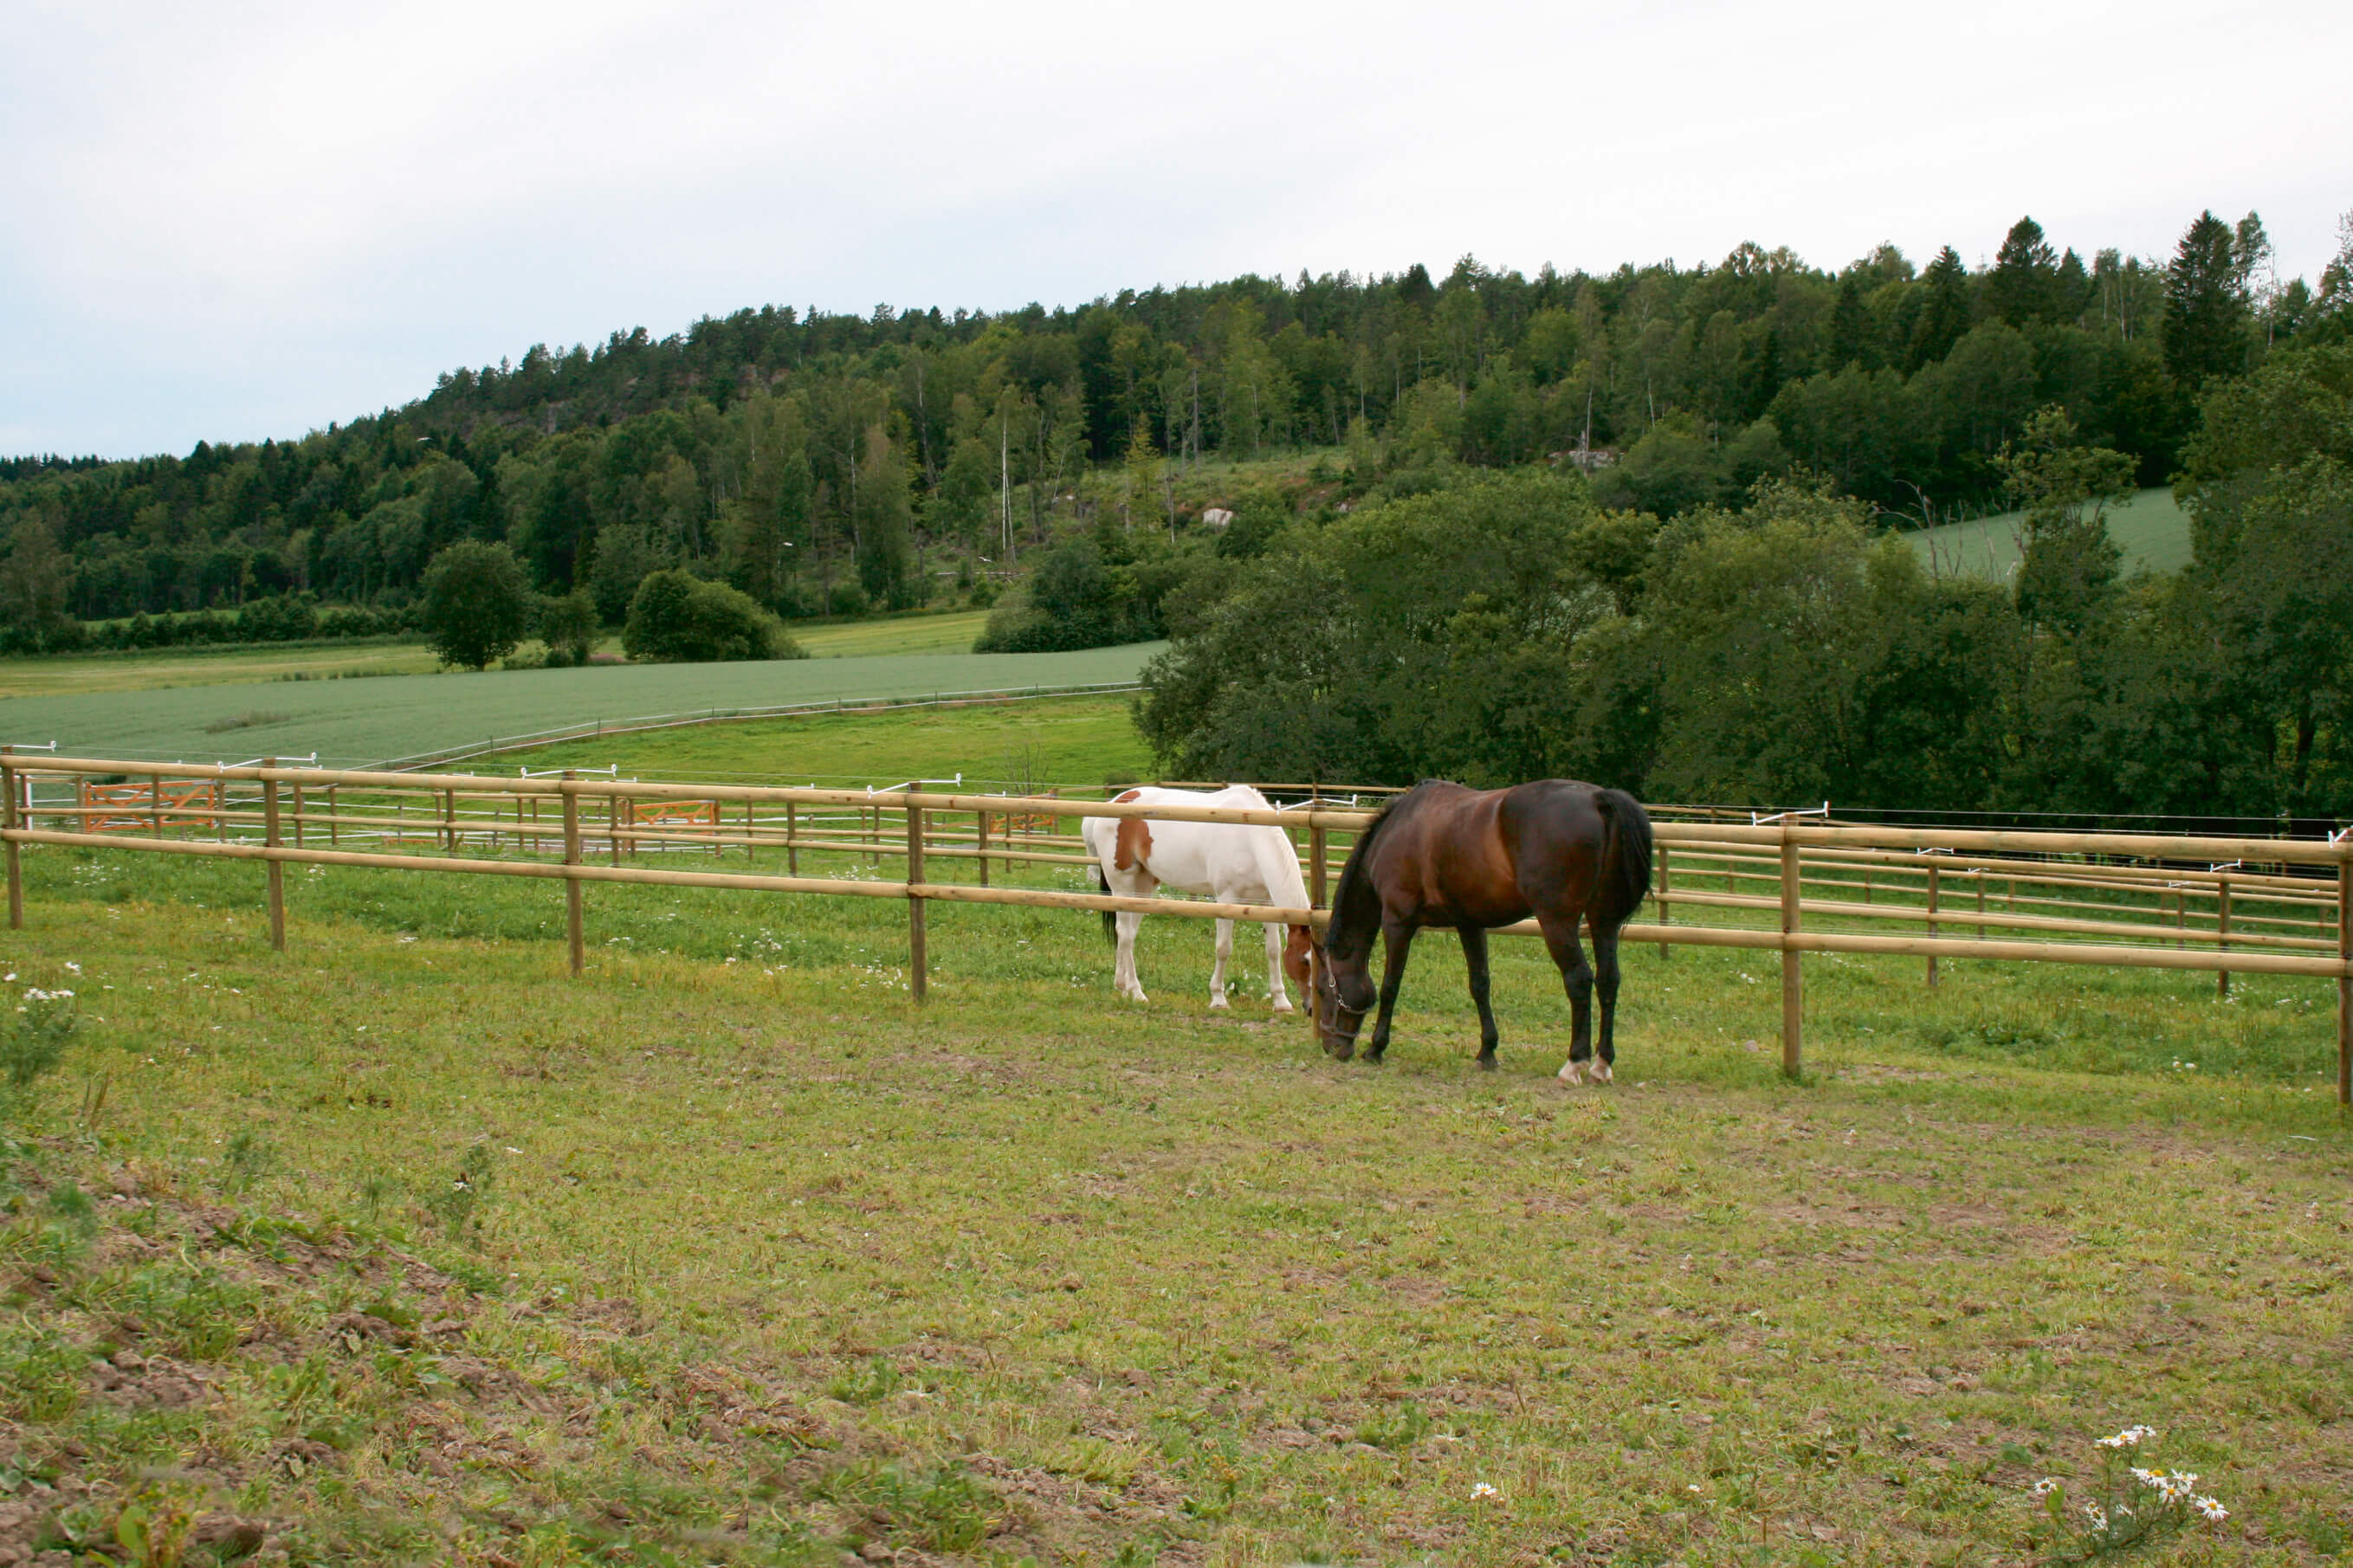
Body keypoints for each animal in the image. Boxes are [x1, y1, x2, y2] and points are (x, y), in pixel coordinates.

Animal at [1083, 785, 1316, 1013]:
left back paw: (1122, 987)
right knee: (1125, 934)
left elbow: (1273, 950)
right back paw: (1136, 991)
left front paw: (1281, 1001)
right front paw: (1218, 998)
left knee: (1127, 934)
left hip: (1144, 887)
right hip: (1122, 885)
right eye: (1304, 961)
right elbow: (1223, 948)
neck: (1249, 837)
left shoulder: (1267, 903)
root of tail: (1116, 801)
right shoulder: (1225, 898)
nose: (1311, 1007)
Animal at [1307, 780, 1653, 1082]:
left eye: (1323, 989)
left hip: (1558, 922)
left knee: (1579, 979)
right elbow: (1480, 985)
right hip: (1603, 922)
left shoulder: (1397, 922)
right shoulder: (1469, 923)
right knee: (1609, 980)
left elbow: (1391, 985)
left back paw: (1574, 1063)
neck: (1397, 830)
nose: (1332, 1046)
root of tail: (1597, 799)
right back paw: (1602, 1063)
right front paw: (1487, 1051)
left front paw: (1376, 1048)